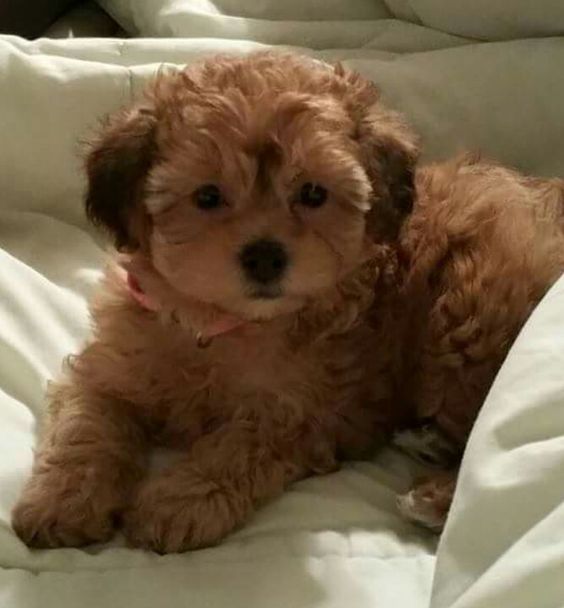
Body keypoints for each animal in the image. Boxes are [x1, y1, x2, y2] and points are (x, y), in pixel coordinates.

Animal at [12, 53, 564, 552]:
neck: (223, 324)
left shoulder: (302, 413)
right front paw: (62, 501)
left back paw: (433, 498)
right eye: (207, 197)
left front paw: (178, 502)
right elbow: (87, 425)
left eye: (313, 193)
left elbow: (236, 448)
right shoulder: (111, 368)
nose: (264, 256)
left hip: (470, 315)